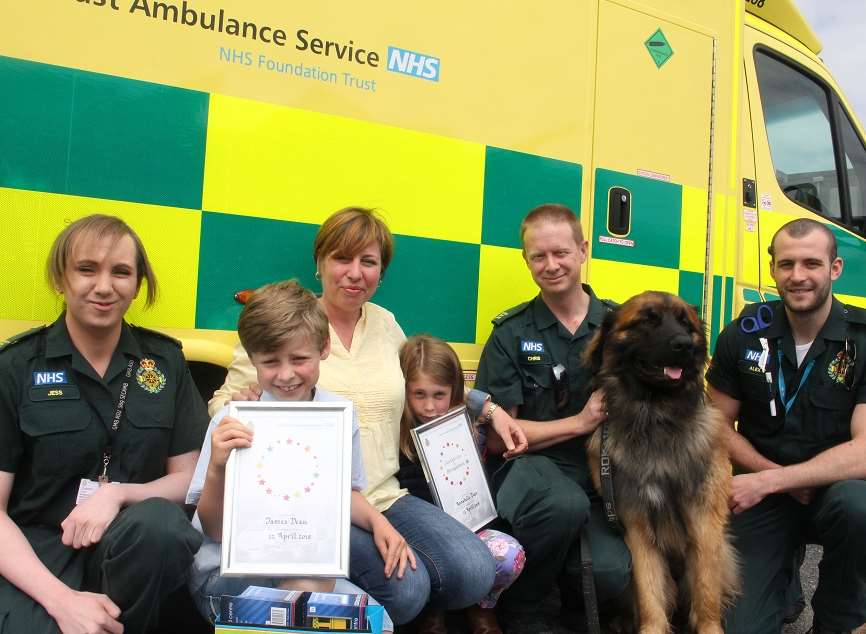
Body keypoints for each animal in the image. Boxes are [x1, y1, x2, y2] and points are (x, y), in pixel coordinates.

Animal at [584, 292, 732, 632]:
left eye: (685, 323)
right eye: (648, 320)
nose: (684, 345)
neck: (655, 417)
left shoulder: (704, 522)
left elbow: (706, 592)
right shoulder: (636, 523)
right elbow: (649, 591)